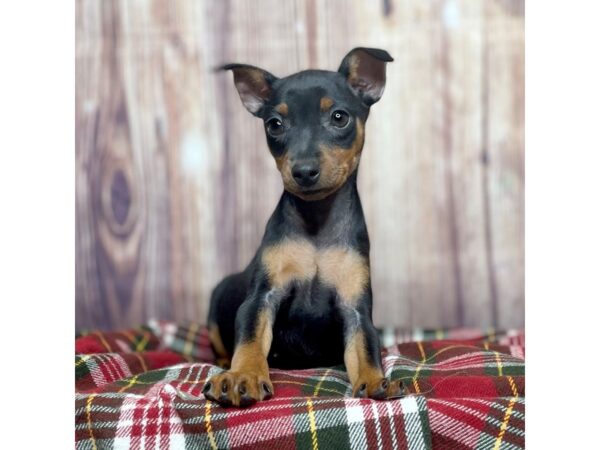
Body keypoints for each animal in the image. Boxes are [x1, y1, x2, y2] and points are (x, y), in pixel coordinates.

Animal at [204, 47, 406, 406]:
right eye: (274, 124)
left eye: (339, 117)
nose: (304, 171)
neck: (317, 222)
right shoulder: (262, 298)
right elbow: (251, 340)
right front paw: (242, 376)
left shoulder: (356, 309)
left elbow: (365, 348)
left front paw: (374, 381)